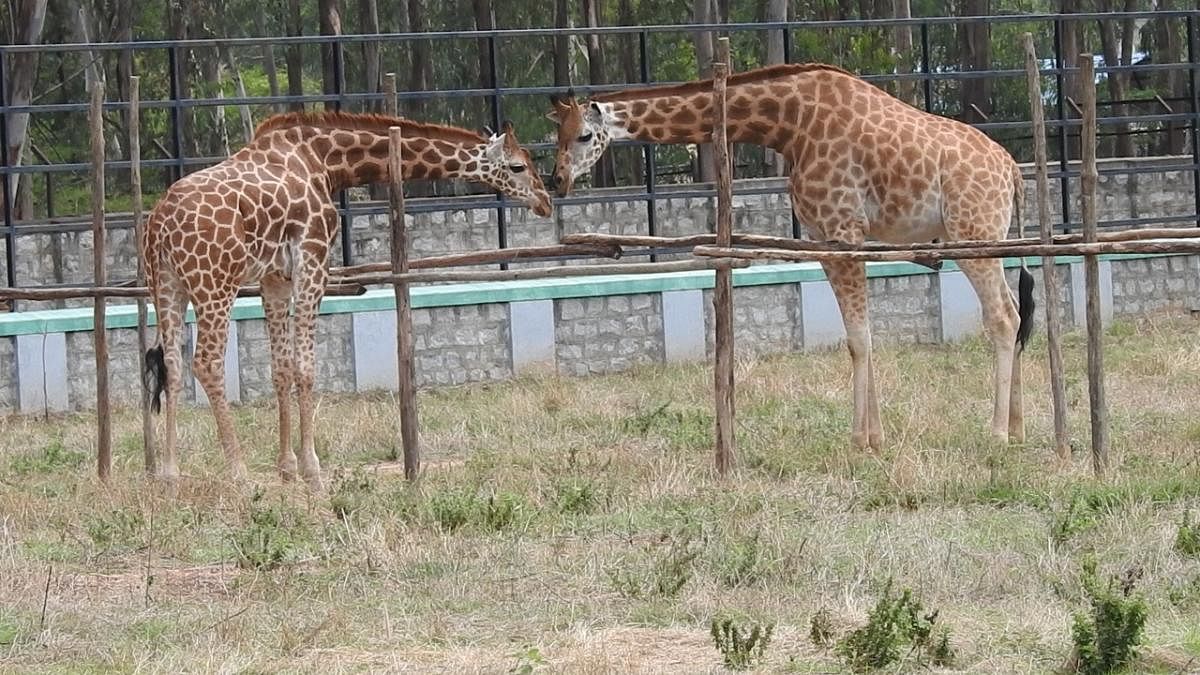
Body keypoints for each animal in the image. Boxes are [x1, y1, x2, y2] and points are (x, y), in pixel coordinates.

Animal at [144, 111, 552, 487]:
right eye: (517, 166)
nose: (546, 201)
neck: (326, 162)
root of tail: (160, 223)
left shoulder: (275, 278)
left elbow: (281, 369)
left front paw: (286, 469)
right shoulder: (312, 261)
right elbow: (305, 367)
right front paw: (312, 471)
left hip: (166, 287)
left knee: (172, 366)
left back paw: (169, 474)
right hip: (215, 284)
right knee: (207, 363)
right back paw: (239, 472)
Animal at [549, 64, 1036, 446]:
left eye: (585, 136)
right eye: (558, 134)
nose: (557, 182)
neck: (789, 125)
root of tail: (1013, 170)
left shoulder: (844, 230)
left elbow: (861, 336)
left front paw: (861, 439)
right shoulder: (824, 238)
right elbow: (857, 338)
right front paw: (873, 436)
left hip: (972, 234)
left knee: (1002, 317)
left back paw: (997, 433)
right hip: (986, 237)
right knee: (1015, 311)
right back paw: (1018, 426)